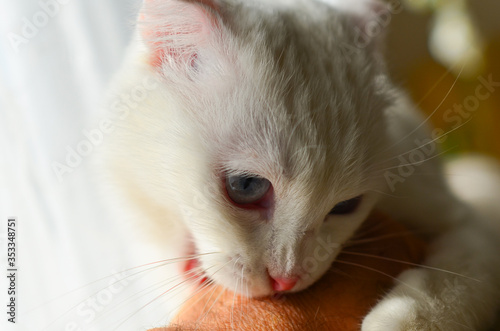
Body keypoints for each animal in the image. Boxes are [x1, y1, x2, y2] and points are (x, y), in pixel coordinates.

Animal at [101, 0, 500, 330]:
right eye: (246, 187)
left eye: (346, 206)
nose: (286, 278)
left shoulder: (469, 223)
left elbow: (448, 282)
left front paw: (398, 321)